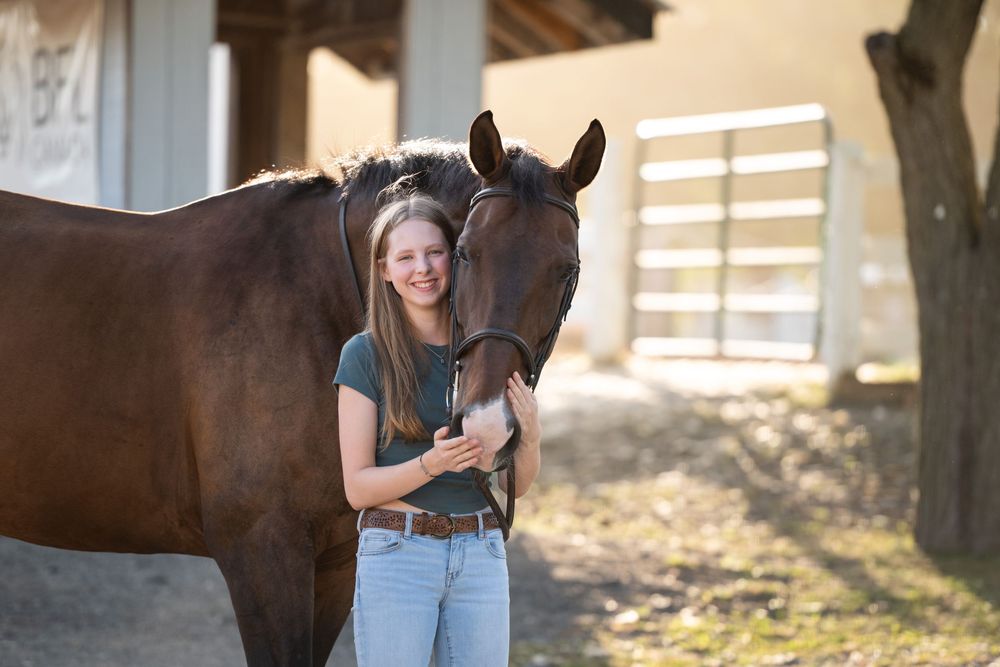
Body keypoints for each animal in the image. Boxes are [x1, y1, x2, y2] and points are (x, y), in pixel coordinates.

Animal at [0, 110, 604, 666]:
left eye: (566, 269)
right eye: (464, 253)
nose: (486, 426)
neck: (314, 297)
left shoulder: (335, 560)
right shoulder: (264, 552)